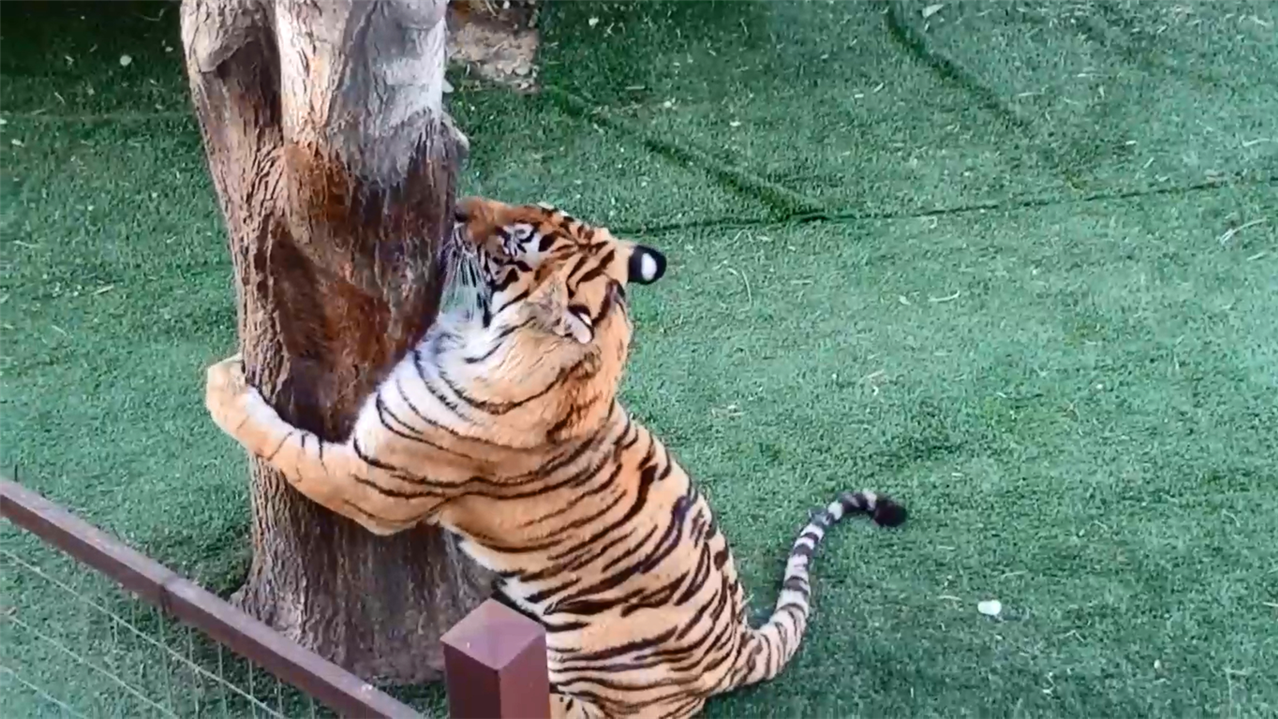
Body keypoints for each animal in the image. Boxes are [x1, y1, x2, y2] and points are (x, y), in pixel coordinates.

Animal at [204, 196, 908, 719]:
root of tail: (736, 645)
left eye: (516, 243)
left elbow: (288, 446)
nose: (457, 206)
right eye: (532, 210)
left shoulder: (372, 481)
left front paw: (221, 382)